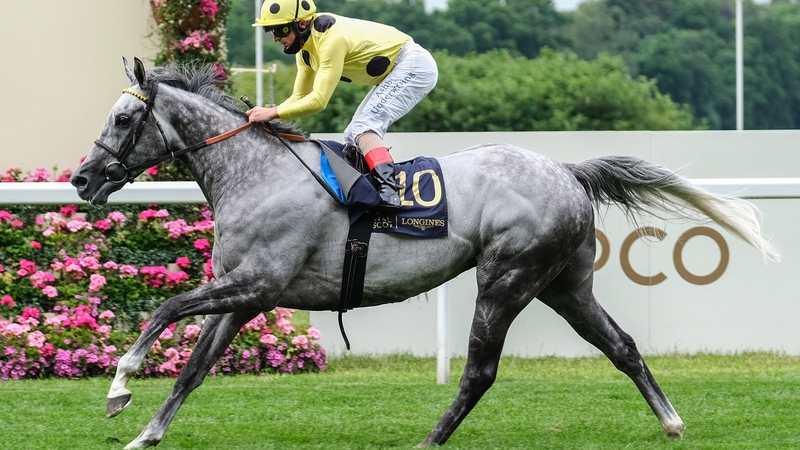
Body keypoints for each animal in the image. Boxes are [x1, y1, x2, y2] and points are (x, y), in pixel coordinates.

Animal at [70, 58, 780, 449]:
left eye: (124, 120)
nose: (81, 179)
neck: (256, 172)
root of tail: (567, 171)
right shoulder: (245, 295)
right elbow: (192, 369)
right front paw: (144, 434)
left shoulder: (258, 283)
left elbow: (165, 309)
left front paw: (119, 386)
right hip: (564, 285)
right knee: (623, 345)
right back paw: (672, 422)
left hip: (507, 277)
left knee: (479, 371)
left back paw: (431, 437)